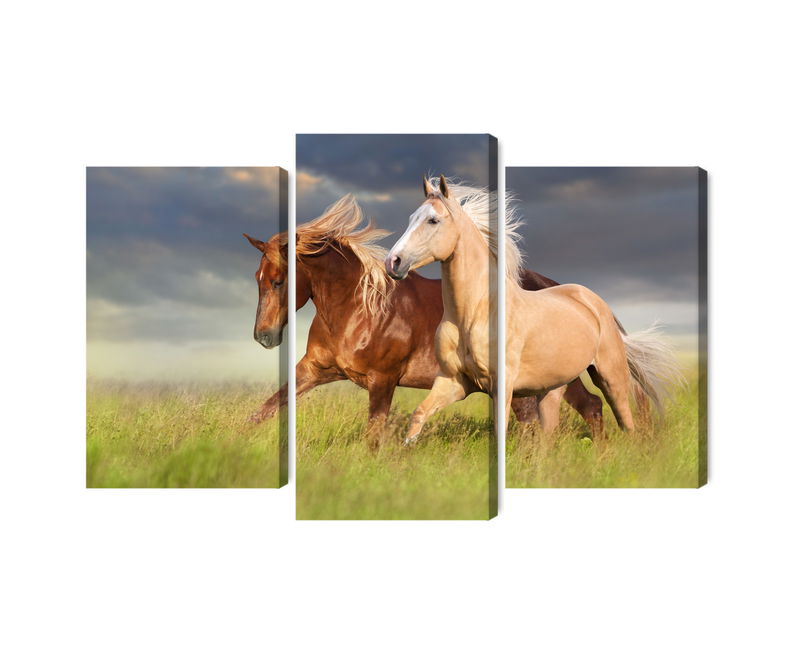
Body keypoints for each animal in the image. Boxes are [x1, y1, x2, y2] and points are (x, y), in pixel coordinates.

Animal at [243, 194, 604, 445]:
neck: (358, 310)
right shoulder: (315, 369)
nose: (264, 336)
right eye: (258, 279)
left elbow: (374, 434)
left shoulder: (383, 380)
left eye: (279, 281)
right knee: (576, 410)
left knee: (587, 408)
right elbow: (267, 408)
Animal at [385, 175, 682, 445]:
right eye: (411, 217)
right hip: (552, 388)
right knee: (550, 433)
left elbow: (501, 433)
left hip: (610, 376)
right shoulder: (454, 382)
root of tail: (596, 303)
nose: (393, 262)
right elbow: (418, 415)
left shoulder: (501, 387)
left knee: (625, 421)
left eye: (433, 220)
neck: (472, 315)